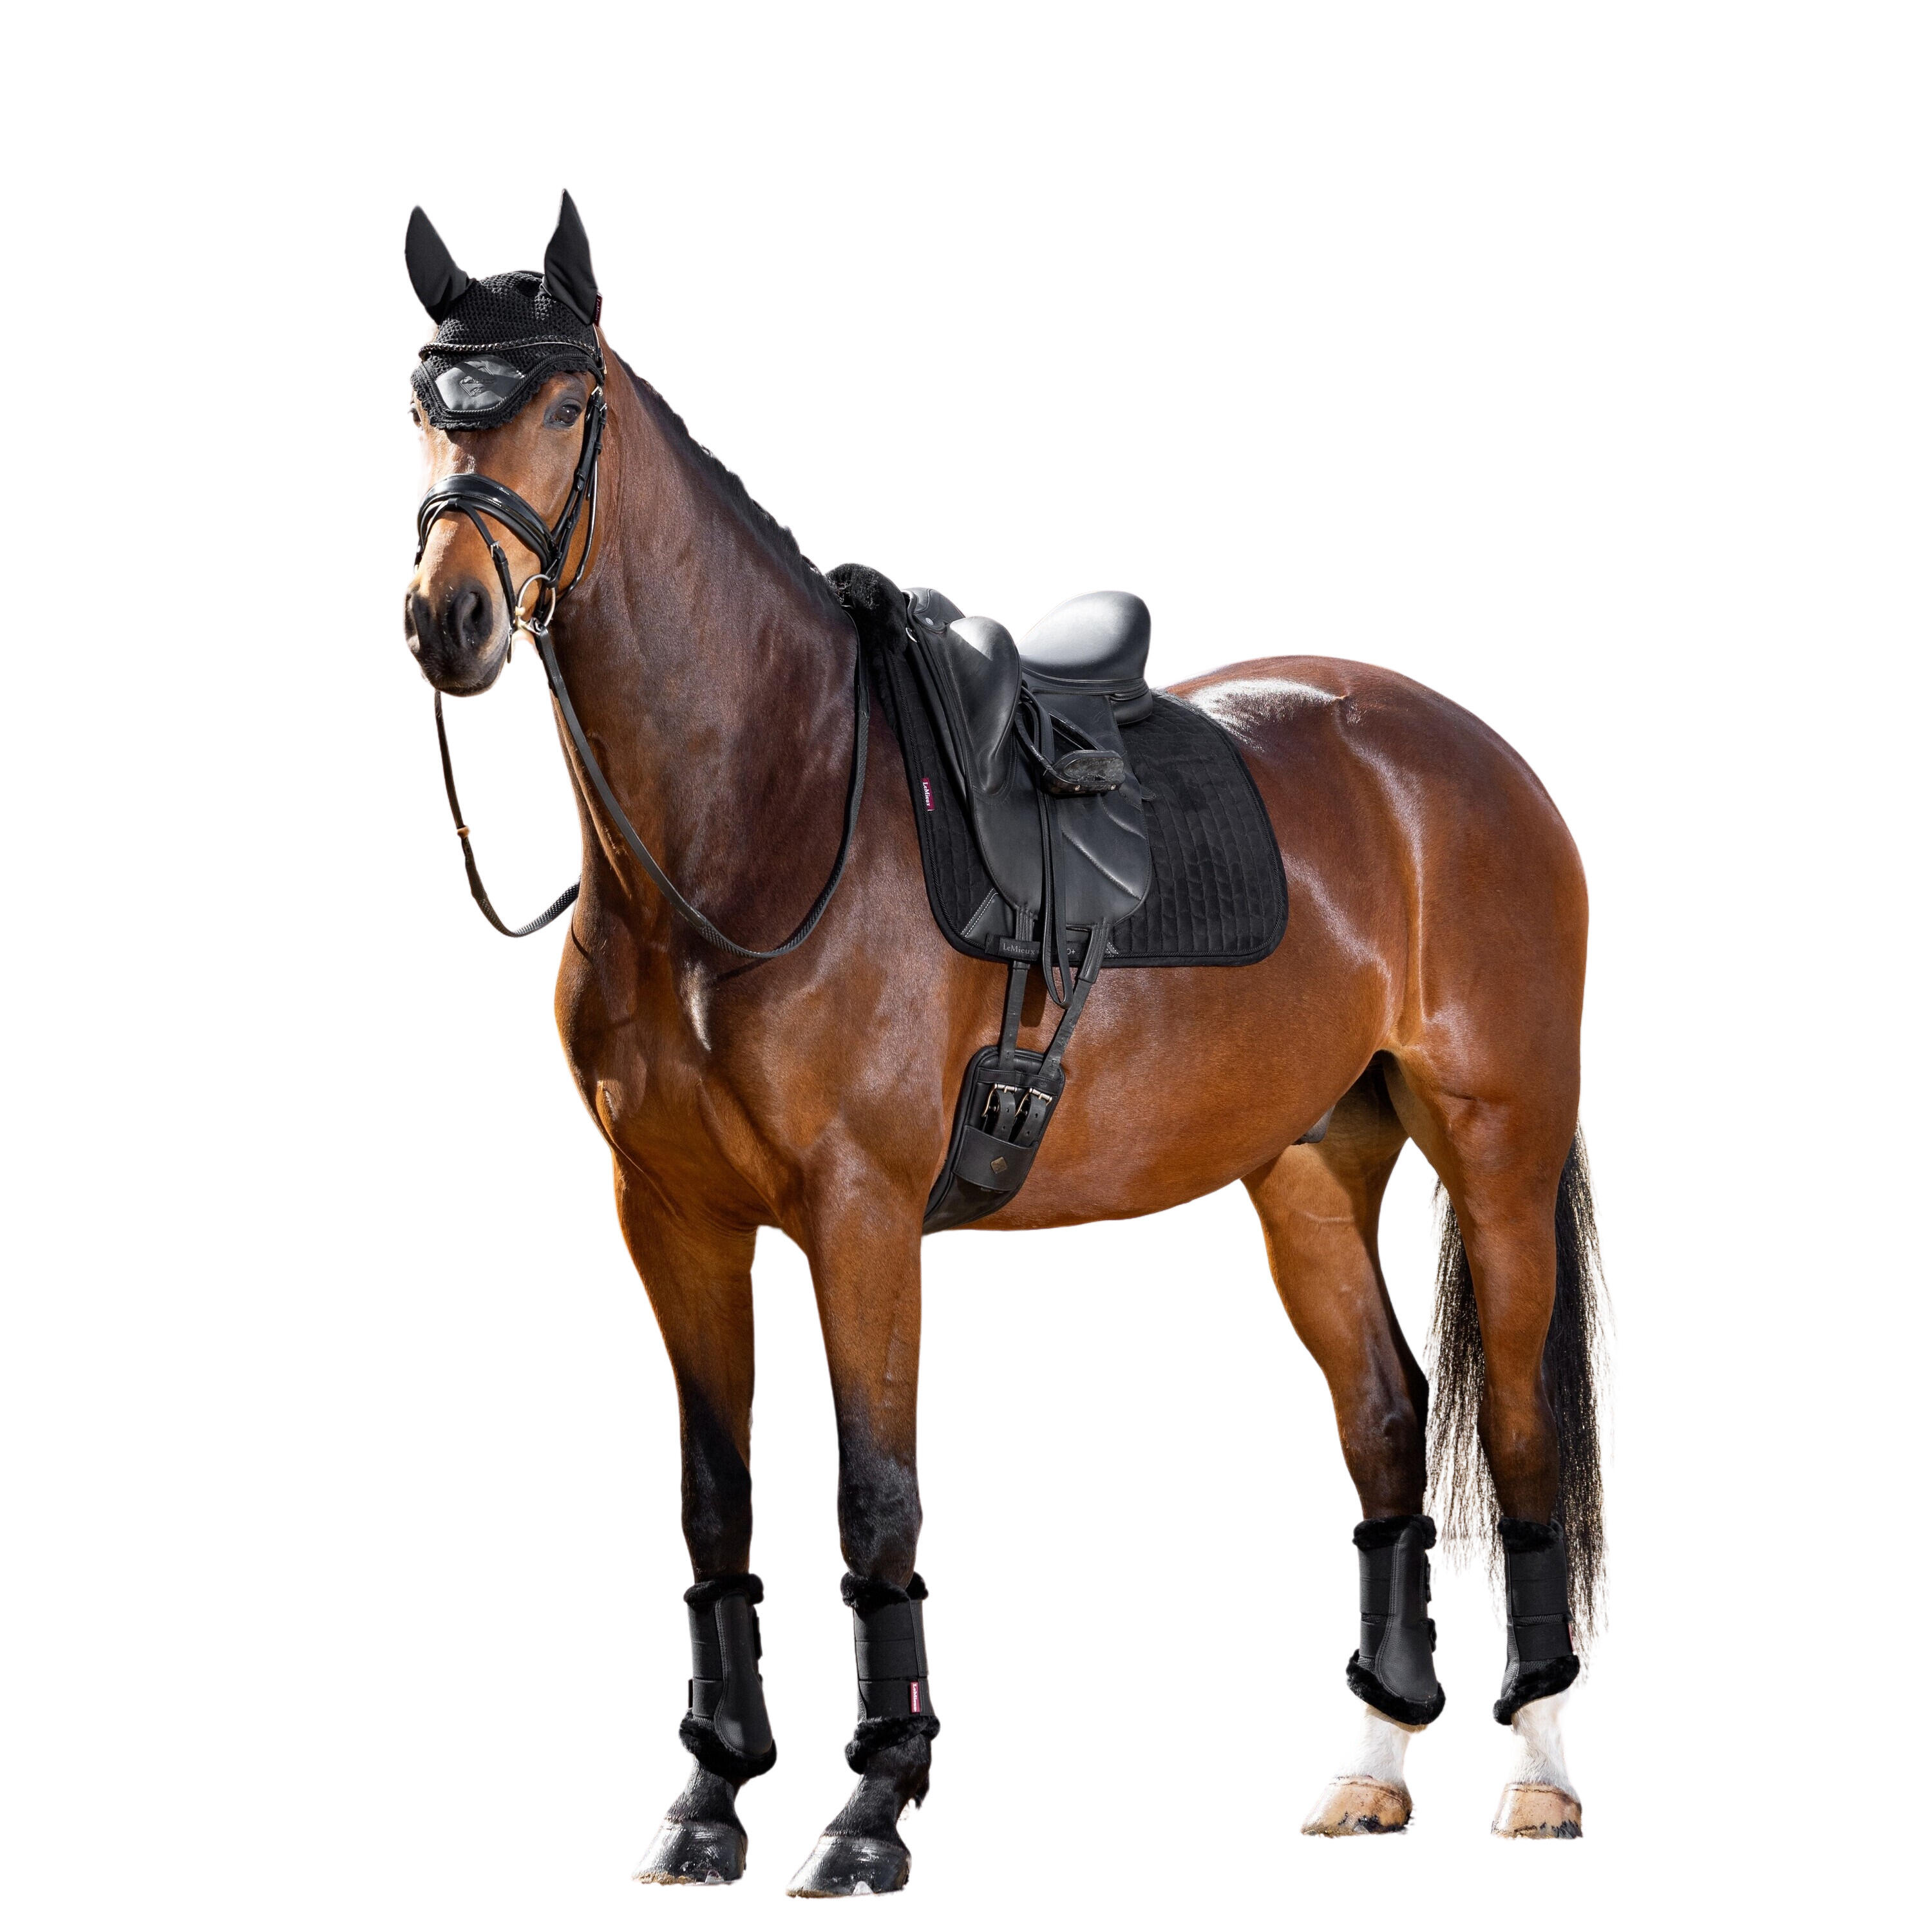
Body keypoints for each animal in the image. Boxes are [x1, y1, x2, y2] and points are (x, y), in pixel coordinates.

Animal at [400, 195, 1606, 1892]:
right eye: (420, 405)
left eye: (567, 406)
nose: (449, 618)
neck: (767, 812)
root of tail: (1471, 758)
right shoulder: (673, 1217)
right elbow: (716, 1506)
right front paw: (707, 1801)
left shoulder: (857, 1219)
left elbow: (874, 1502)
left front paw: (869, 1810)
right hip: (1306, 1168)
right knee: (1383, 1423)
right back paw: (1371, 1767)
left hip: (1496, 1154)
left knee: (1513, 1433)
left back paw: (1540, 1770)